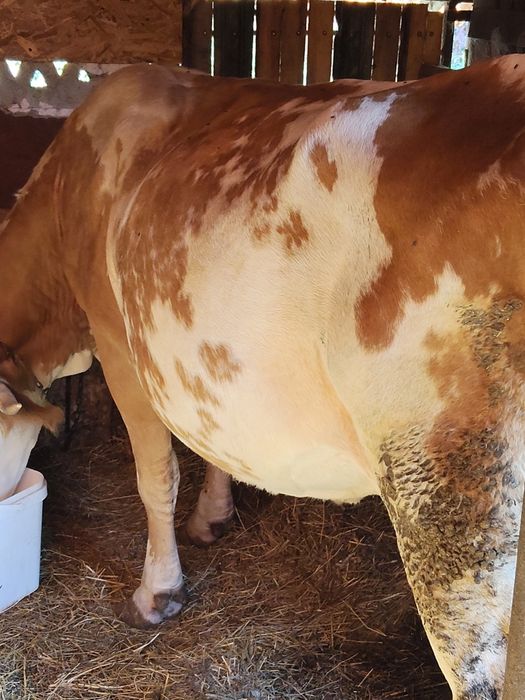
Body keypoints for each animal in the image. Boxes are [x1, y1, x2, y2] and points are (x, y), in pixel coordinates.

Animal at [0, 56, 524, 699]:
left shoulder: (117, 343)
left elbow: (156, 477)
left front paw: (157, 594)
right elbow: (214, 437)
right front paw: (213, 517)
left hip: (450, 495)